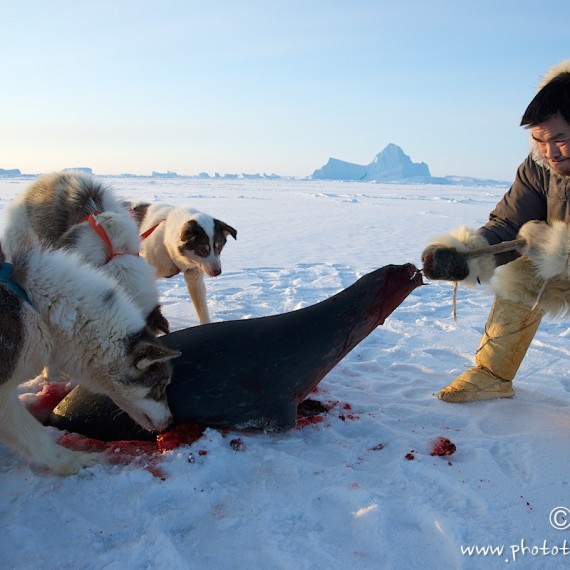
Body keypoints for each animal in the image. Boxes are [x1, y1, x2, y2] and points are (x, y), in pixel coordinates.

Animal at [0, 242, 179, 472]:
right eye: (160, 386)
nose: (170, 422)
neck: (38, 309)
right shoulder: (4, 397)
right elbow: (36, 438)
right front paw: (73, 462)